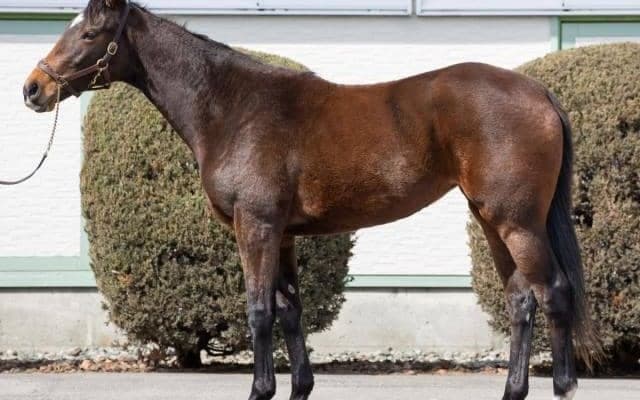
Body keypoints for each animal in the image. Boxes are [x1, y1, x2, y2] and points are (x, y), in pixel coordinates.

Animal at [23, 1, 602, 399]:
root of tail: (539, 93)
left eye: (90, 32)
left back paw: (563, 386)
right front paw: (298, 386)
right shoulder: (281, 235)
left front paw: (260, 390)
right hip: (491, 219)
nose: (33, 89)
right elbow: (290, 310)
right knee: (522, 299)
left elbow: (259, 310)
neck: (234, 108)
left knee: (554, 292)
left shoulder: (255, 226)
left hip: (517, 222)